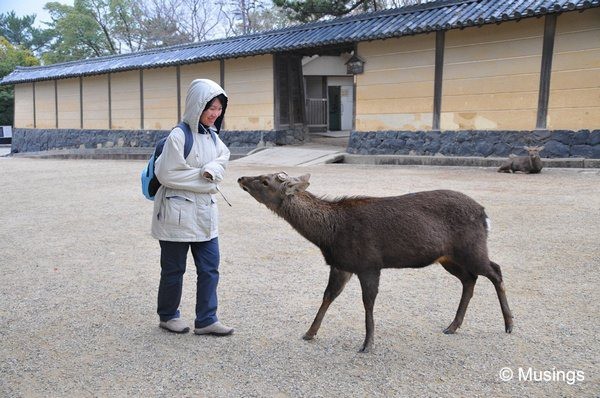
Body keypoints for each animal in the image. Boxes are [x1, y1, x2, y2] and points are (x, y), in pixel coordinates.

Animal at [237, 171, 512, 352]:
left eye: (265, 181)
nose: (241, 178)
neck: (328, 235)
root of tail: (484, 213)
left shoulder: (369, 263)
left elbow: (367, 303)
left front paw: (367, 344)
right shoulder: (341, 264)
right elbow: (327, 296)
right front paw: (309, 333)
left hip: (472, 248)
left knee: (495, 271)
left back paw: (509, 324)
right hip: (448, 257)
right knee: (470, 279)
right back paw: (453, 326)